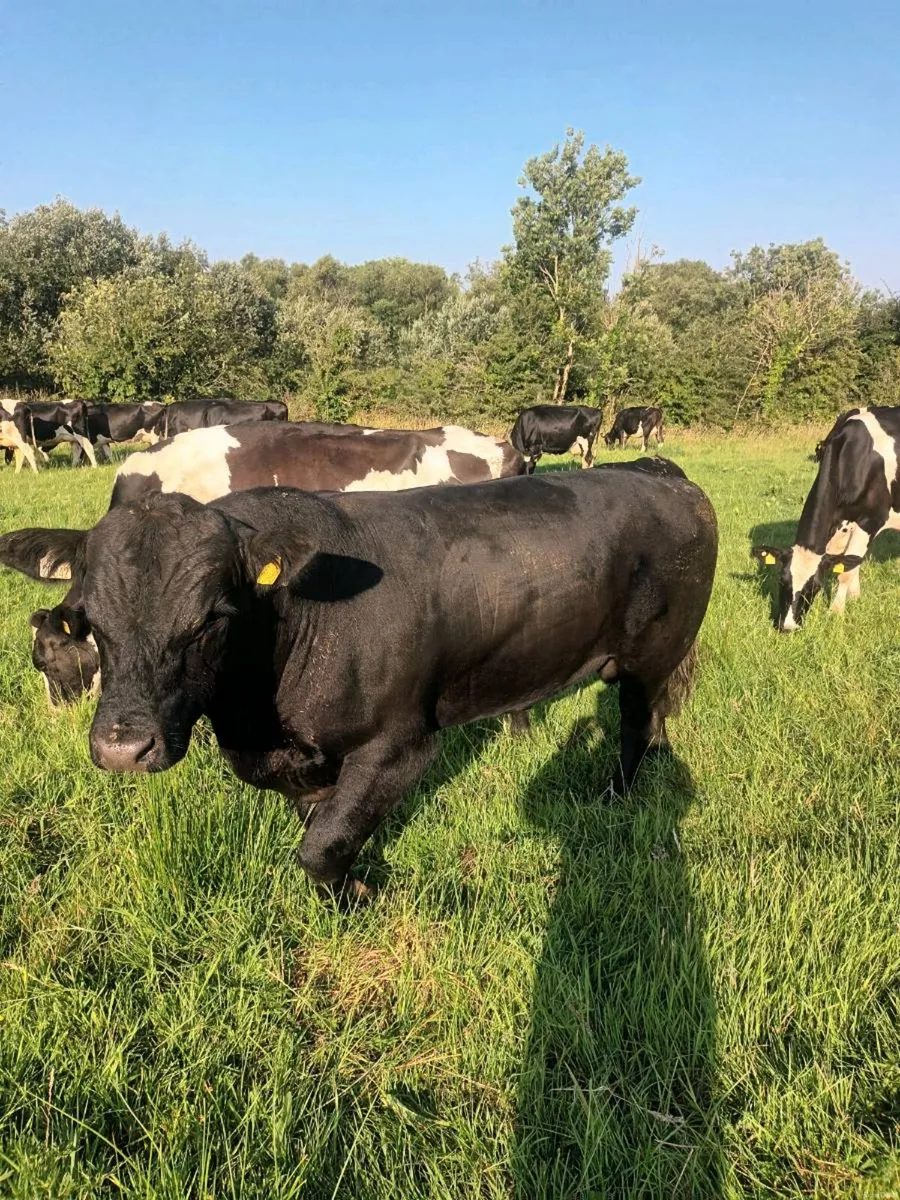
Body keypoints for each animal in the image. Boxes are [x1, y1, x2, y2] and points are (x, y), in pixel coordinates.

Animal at [13, 459, 717, 900]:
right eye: (91, 617)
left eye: (213, 617)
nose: (123, 749)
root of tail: (659, 472)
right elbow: (321, 828)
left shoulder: (398, 744)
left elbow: (320, 847)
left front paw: (356, 898)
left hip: (654, 653)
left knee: (634, 724)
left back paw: (613, 797)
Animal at [751, 406, 900, 630]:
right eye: (781, 581)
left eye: (815, 587)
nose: (788, 627)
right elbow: (851, 561)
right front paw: (855, 597)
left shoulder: (870, 520)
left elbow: (846, 570)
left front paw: (836, 612)